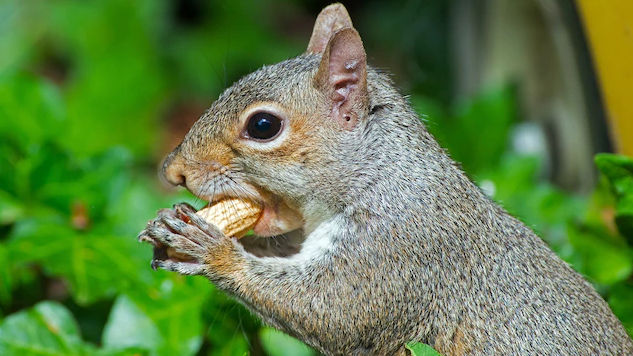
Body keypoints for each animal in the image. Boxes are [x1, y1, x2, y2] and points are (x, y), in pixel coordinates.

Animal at [139, 3, 632, 356]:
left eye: (263, 126)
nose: (172, 170)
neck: (379, 174)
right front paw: (171, 226)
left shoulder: (396, 249)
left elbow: (329, 309)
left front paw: (210, 249)